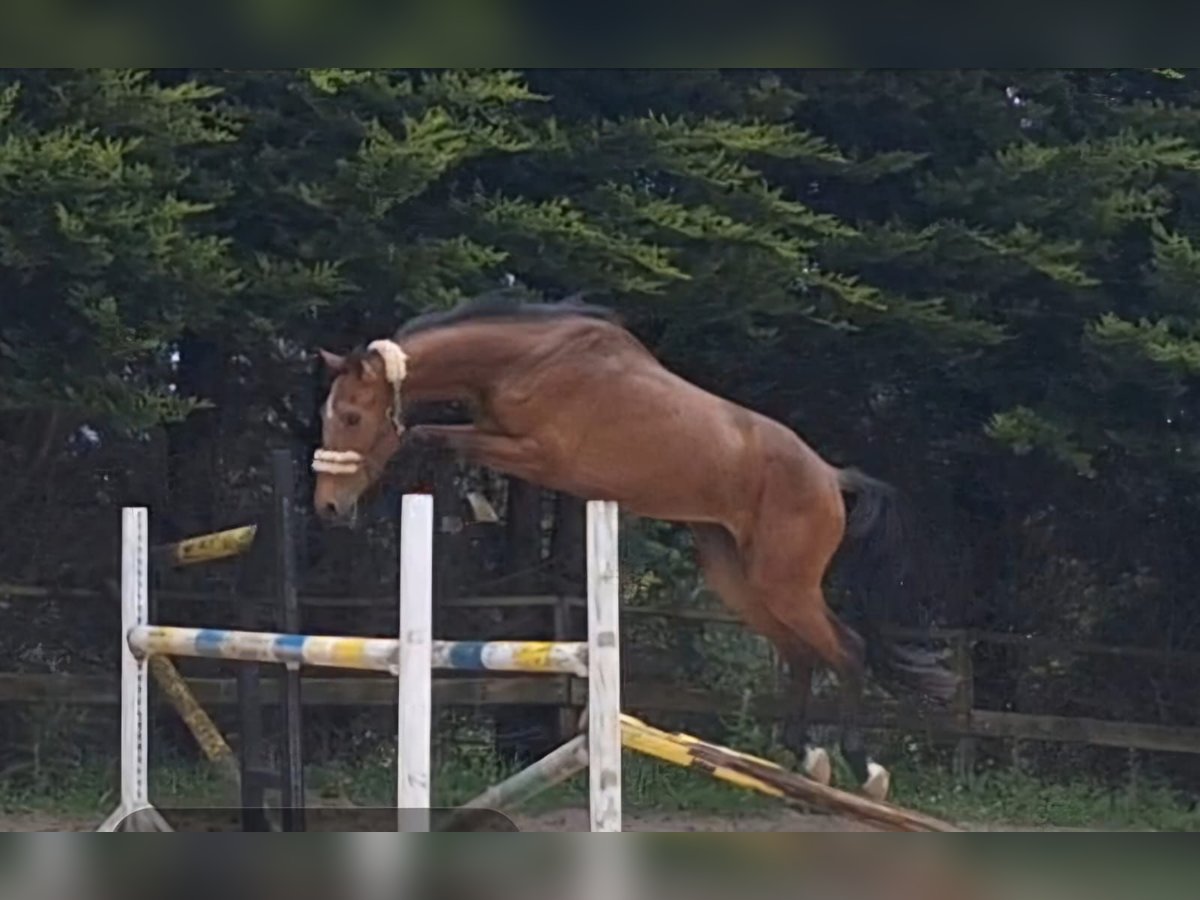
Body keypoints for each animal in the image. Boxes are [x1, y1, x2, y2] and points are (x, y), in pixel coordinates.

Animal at [310, 291, 958, 799]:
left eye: (350, 417)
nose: (328, 508)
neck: (525, 361)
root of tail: (828, 475)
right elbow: (440, 437)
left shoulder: (540, 455)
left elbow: (430, 435)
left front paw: (473, 503)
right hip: (737, 576)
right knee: (800, 653)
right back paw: (805, 758)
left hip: (784, 579)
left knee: (846, 649)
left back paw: (862, 767)